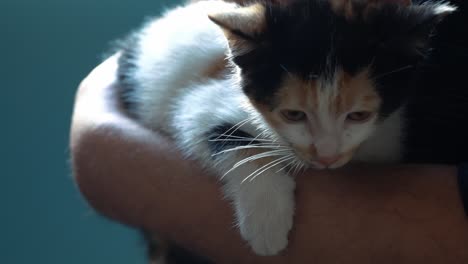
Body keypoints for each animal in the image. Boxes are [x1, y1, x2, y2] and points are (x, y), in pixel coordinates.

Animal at [117, 0, 464, 256]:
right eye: (293, 114)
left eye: (359, 115)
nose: (326, 157)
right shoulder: (205, 99)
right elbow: (219, 130)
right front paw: (266, 219)